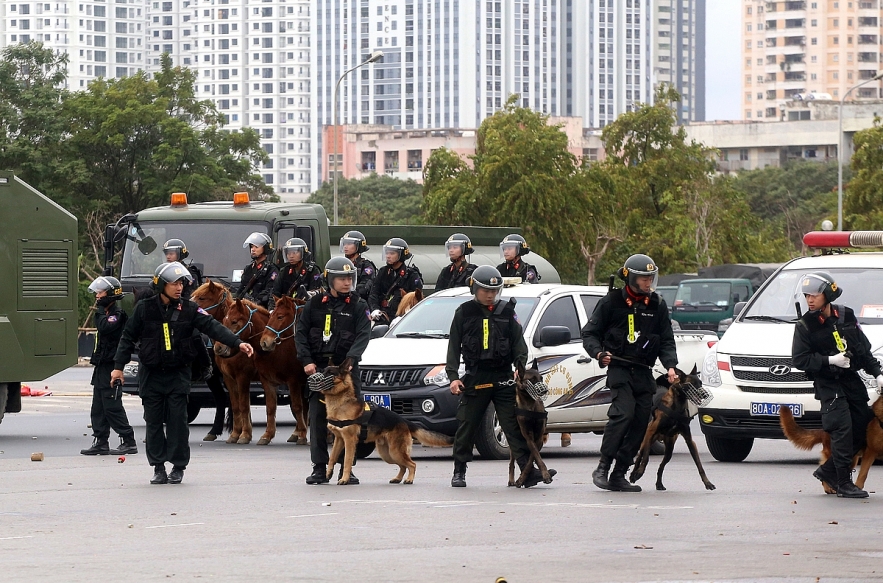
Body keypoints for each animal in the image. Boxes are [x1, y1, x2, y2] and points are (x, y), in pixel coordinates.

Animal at [192, 280, 260, 444]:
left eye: (202, 297)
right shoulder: (228, 377)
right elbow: (236, 404)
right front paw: (238, 432)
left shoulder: (243, 376)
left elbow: (243, 404)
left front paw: (244, 433)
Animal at [258, 294, 310, 444]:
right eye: (270, 315)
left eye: (280, 316)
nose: (264, 342)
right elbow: (271, 407)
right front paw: (267, 435)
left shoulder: (294, 381)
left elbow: (298, 406)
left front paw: (302, 434)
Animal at [320, 358, 456, 486]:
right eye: (323, 371)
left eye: (330, 373)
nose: (318, 377)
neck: (341, 403)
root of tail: (403, 421)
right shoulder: (339, 439)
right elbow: (332, 458)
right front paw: (326, 475)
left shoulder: (349, 440)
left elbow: (347, 461)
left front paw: (344, 479)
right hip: (388, 454)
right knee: (403, 466)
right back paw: (398, 478)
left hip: (395, 452)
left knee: (412, 464)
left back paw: (409, 479)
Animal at [504, 360, 552, 488]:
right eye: (532, 379)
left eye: (541, 378)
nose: (545, 390)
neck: (530, 405)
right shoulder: (528, 436)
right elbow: (536, 455)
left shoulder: (539, 437)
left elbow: (532, 458)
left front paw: (524, 478)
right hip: (512, 444)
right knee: (512, 461)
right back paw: (511, 480)